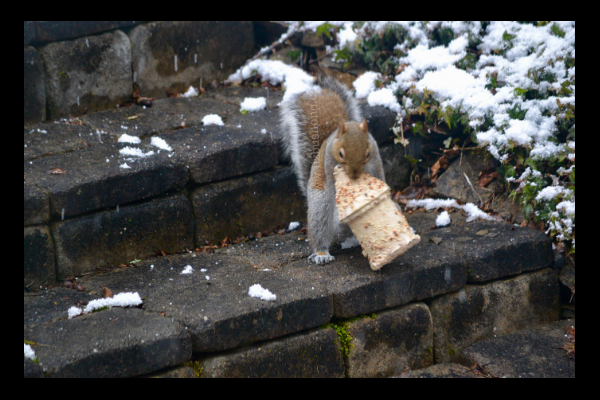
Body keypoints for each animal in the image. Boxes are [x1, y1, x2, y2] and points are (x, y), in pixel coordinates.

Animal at [280, 76, 384, 264]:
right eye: (341, 153)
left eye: (367, 153)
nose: (355, 175)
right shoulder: (328, 166)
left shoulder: (376, 160)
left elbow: (379, 176)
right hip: (320, 207)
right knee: (320, 232)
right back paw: (322, 254)